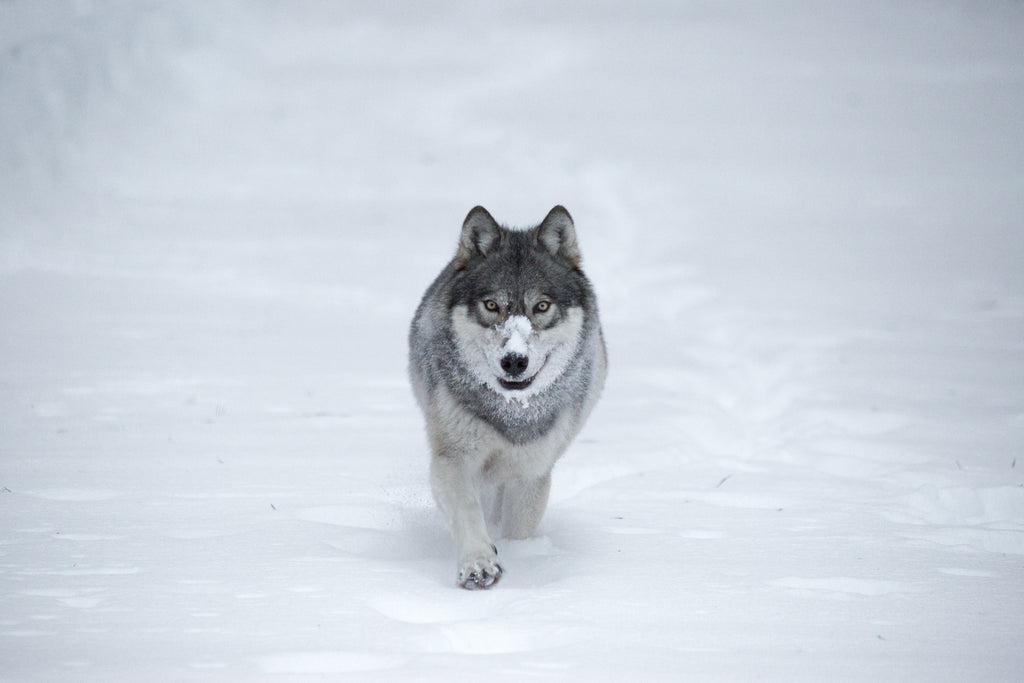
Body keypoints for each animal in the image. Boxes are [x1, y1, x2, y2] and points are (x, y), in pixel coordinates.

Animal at [409, 205, 607, 589]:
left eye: (541, 306)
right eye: (491, 305)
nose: (514, 360)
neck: (511, 414)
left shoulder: (530, 472)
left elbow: (519, 528)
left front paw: (520, 555)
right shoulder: (452, 459)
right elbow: (469, 509)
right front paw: (478, 565)